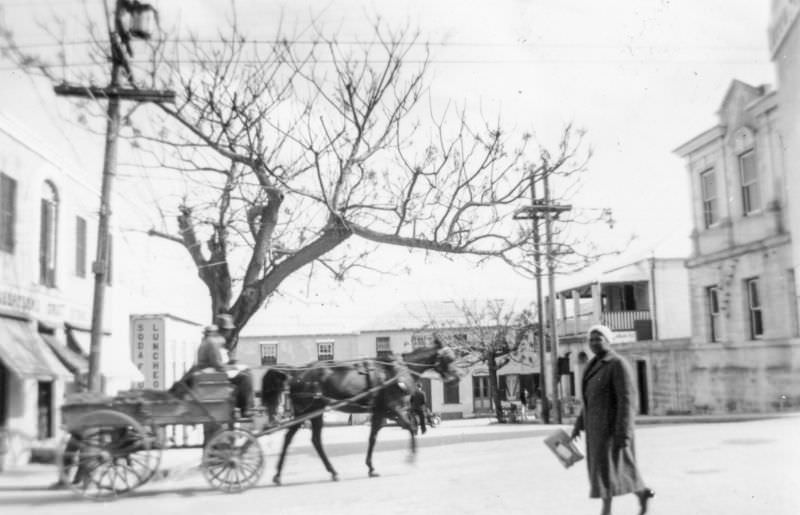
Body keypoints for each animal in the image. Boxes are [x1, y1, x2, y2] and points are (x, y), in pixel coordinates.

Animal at [262, 340, 460, 486]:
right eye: (448, 358)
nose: (457, 378)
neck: (395, 372)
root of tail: (297, 372)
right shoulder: (394, 408)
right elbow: (411, 428)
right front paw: (410, 458)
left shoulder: (380, 412)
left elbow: (373, 438)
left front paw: (371, 467)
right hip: (308, 411)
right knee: (293, 437)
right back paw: (283, 474)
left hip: (314, 412)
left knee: (311, 440)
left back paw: (325, 471)